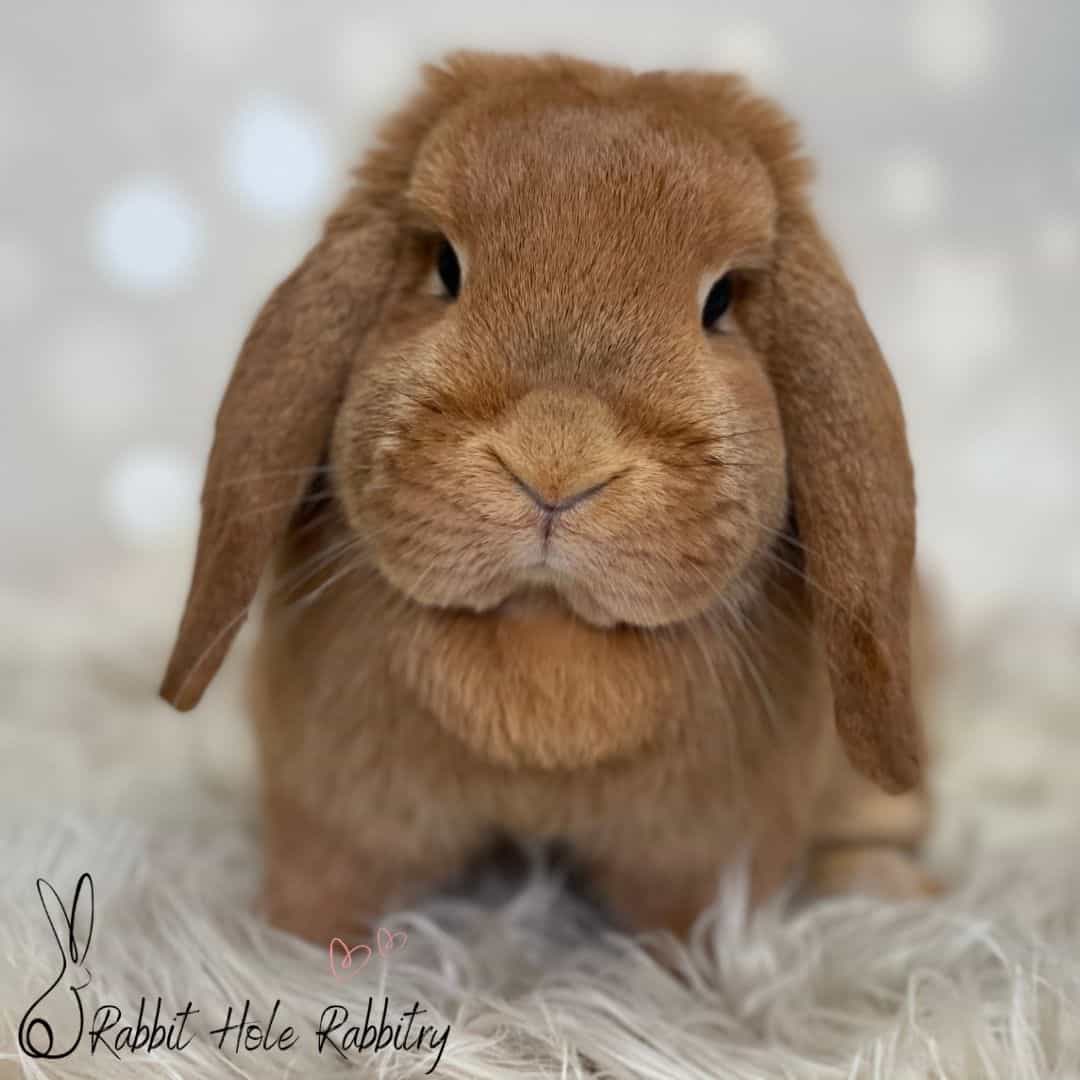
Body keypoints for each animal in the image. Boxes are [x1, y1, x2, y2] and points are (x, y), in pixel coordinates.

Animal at [159, 51, 937, 943]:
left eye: (720, 302)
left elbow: (694, 923)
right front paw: (295, 947)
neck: (542, 632)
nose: (556, 463)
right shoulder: (336, 809)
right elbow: (323, 882)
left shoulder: (705, 849)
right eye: (446, 267)